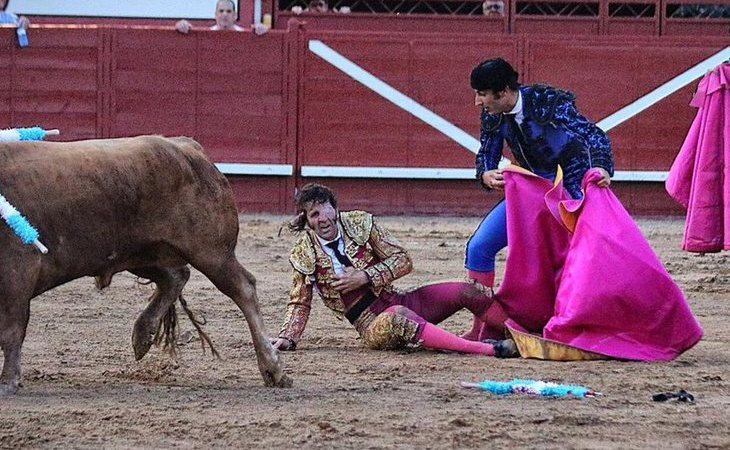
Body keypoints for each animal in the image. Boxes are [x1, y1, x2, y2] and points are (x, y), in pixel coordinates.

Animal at [0, 134, 290, 394]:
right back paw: (142, 335)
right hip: (141, 252)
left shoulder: (19, 270)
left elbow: (12, 328)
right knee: (175, 277)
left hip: (212, 253)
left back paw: (272, 368)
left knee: (243, 289)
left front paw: (8, 382)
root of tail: (189, 148)